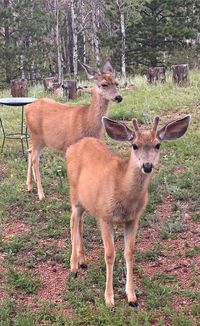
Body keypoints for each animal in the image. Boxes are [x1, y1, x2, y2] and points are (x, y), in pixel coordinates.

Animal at [25, 59, 122, 200]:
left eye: (117, 83)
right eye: (104, 84)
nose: (119, 97)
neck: (86, 120)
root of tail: (26, 108)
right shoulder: (72, 145)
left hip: (41, 139)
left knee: (29, 151)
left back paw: (29, 186)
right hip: (36, 135)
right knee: (34, 158)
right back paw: (41, 194)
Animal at [67, 115, 191, 308]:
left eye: (158, 145)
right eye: (134, 145)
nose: (147, 166)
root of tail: (73, 146)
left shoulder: (133, 219)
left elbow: (129, 252)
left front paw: (132, 297)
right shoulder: (105, 216)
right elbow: (110, 254)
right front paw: (109, 298)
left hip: (87, 201)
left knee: (79, 222)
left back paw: (83, 260)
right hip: (74, 195)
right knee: (73, 221)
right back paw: (73, 267)